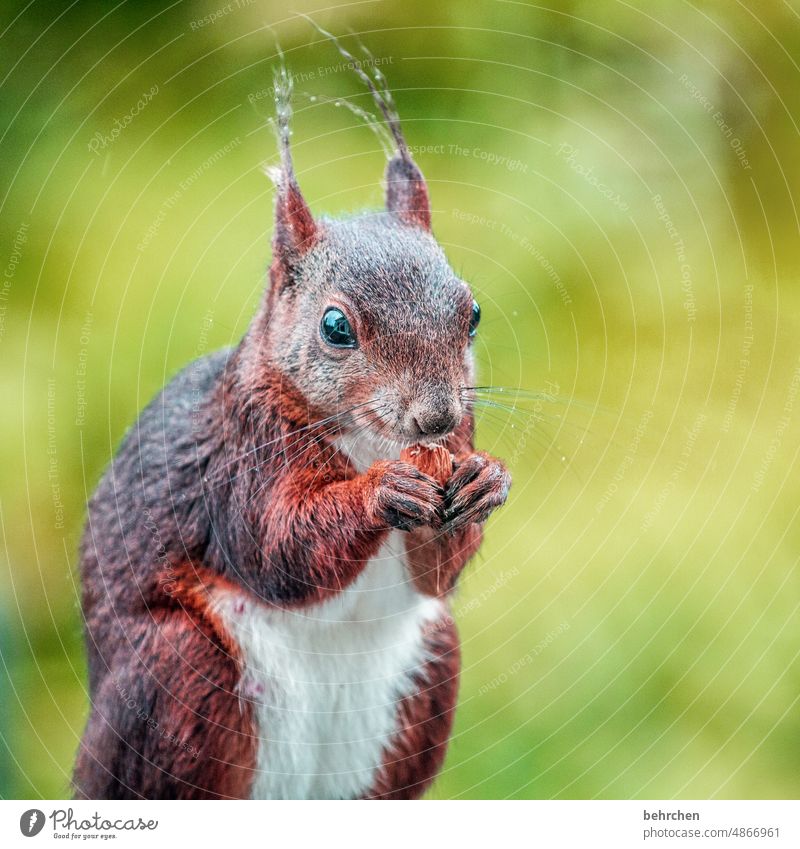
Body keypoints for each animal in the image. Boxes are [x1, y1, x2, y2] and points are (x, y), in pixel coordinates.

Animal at [75, 49, 512, 800]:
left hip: (426, 681)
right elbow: (277, 548)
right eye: (335, 327)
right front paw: (378, 492)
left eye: (474, 312)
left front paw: (488, 481)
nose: (436, 415)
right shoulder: (241, 459)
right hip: (177, 673)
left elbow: (436, 574)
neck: (370, 439)